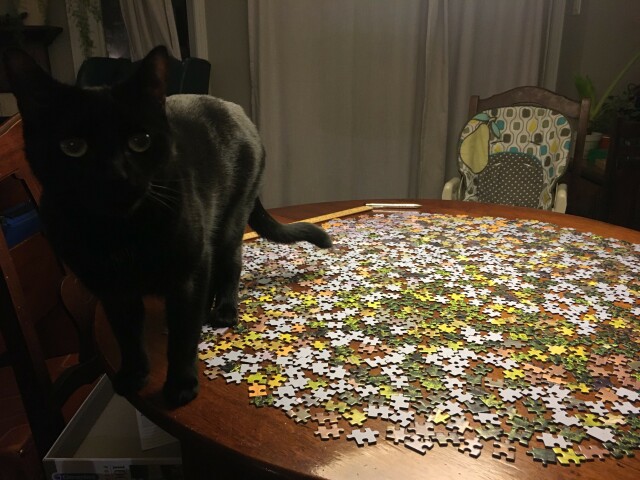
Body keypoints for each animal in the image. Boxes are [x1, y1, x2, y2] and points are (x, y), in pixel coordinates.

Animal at [5, 46, 332, 404]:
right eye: (73, 147)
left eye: (141, 141)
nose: (116, 177)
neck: (120, 233)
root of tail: (235, 108)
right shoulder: (112, 289)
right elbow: (127, 338)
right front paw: (134, 375)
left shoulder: (185, 276)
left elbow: (182, 337)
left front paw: (180, 385)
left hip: (230, 220)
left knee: (229, 264)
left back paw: (223, 310)